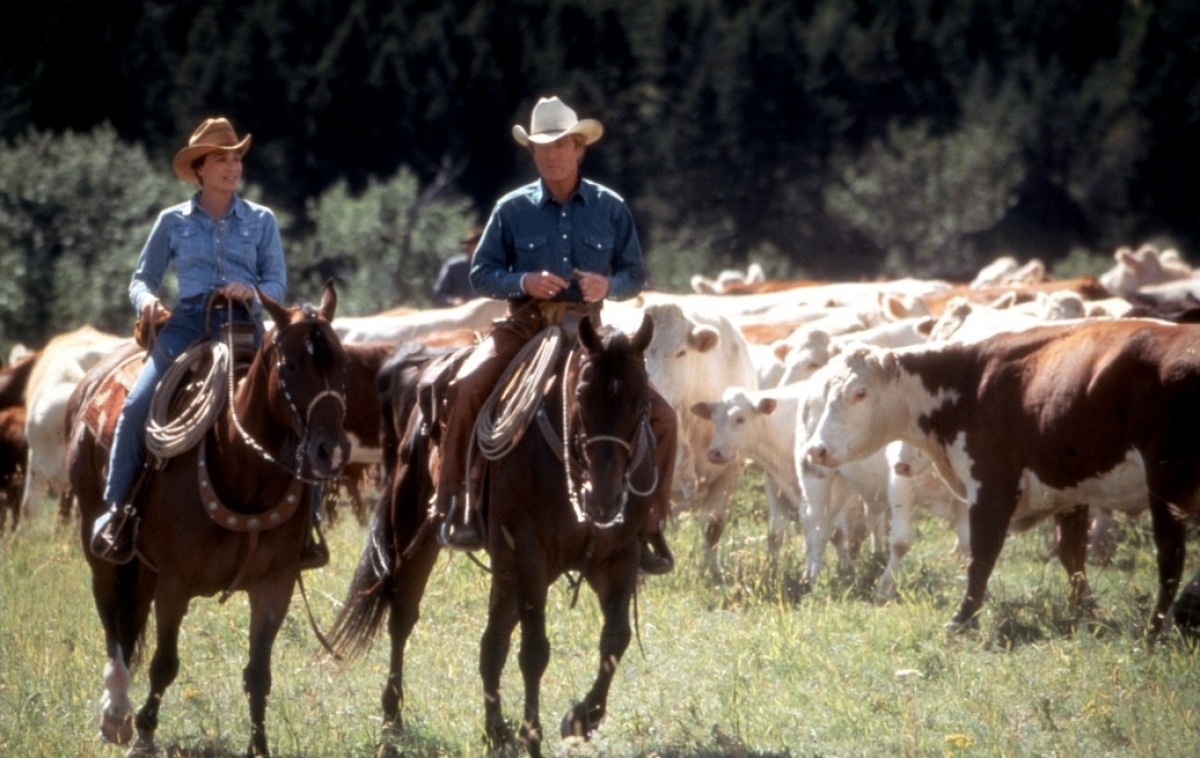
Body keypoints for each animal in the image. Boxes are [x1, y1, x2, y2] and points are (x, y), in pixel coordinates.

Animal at [66, 284, 350, 758]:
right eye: (290, 365)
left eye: (341, 361)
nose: (330, 450)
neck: (241, 467)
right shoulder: (175, 583)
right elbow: (164, 664)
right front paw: (144, 735)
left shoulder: (275, 584)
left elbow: (258, 673)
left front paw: (259, 746)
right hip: (102, 550)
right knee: (111, 617)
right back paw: (116, 713)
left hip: (143, 566)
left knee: (128, 615)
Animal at [331, 314, 657, 758]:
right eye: (581, 395)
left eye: (641, 402)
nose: (605, 499)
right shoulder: (530, 554)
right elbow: (535, 651)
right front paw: (533, 736)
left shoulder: (619, 556)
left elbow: (616, 639)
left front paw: (580, 719)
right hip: (418, 532)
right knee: (403, 616)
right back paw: (392, 720)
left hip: (505, 566)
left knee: (492, 642)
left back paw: (496, 731)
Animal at [801, 319, 1200, 633]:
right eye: (826, 391)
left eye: (860, 392)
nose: (815, 449)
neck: (969, 383)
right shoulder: (1069, 491)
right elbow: (1071, 554)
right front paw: (1085, 610)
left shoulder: (991, 486)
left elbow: (981, 554)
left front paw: (962, 619)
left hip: (1167, 484)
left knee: (1170, 558)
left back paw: (1155, 629)